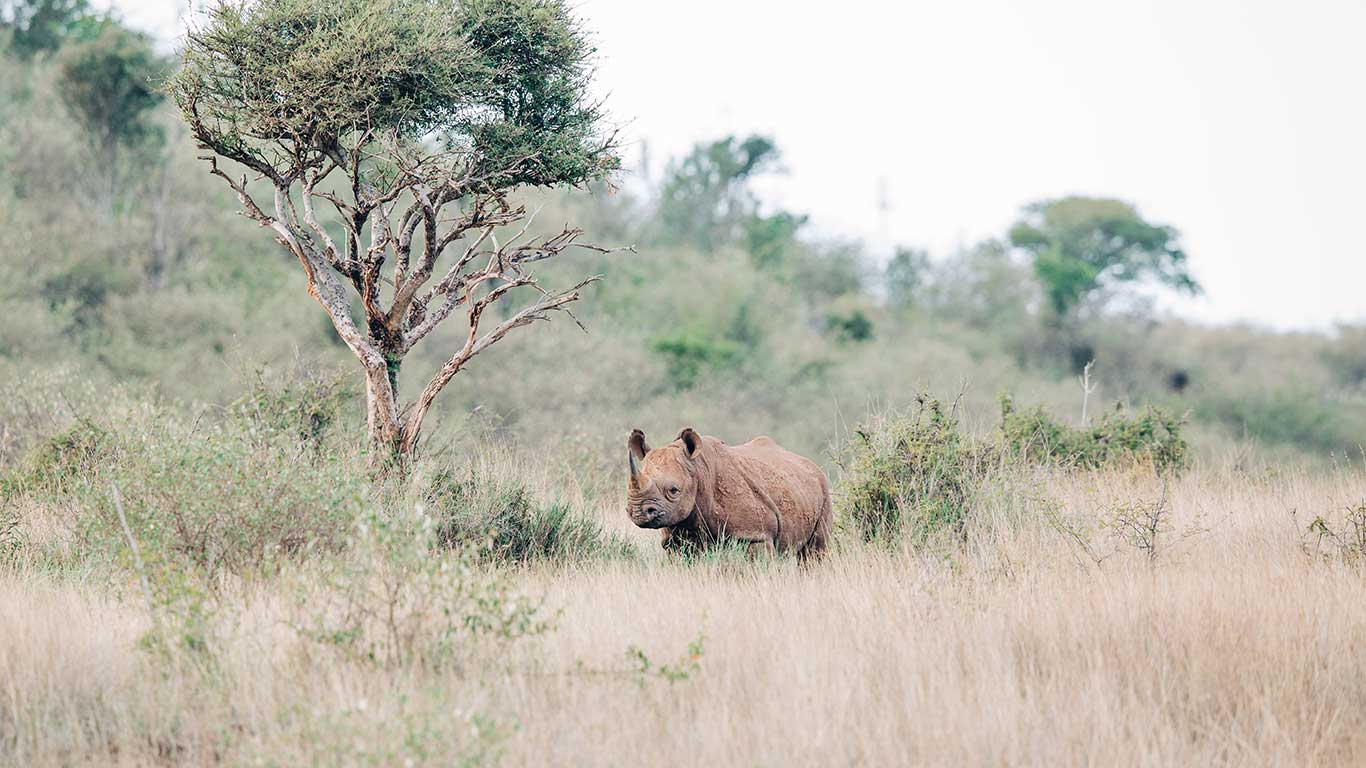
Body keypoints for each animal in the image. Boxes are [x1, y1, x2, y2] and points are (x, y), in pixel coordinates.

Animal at [625, 428, 831, 558]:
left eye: (674, 491)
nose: (637, 511)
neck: (699, 472)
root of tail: (811, 465)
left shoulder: (755, 535)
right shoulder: (675, 540)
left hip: (824, 488)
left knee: (815, 552)